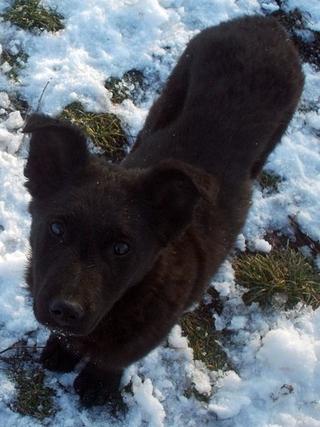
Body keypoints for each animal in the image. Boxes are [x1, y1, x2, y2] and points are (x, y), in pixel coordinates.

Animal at [23, 15, 304, 406]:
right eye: (56, 228)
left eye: (122, 248)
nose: (66, 309)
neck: (130, 298)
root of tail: (264, 23)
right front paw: (60, 350)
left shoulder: (145, 335)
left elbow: (114, 358)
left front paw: (98, 383)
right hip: (174, 85)